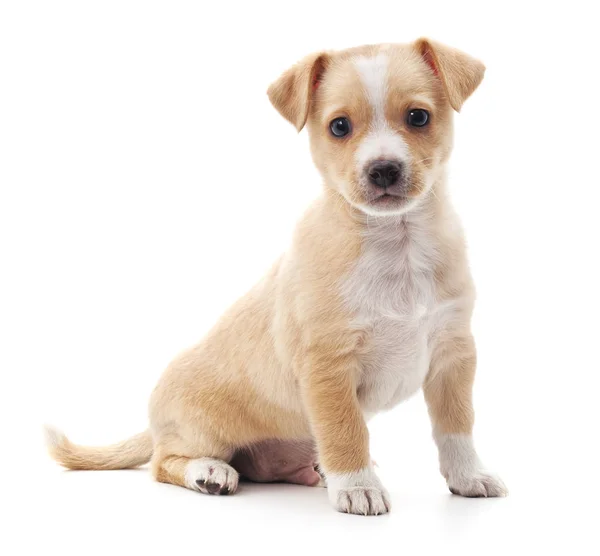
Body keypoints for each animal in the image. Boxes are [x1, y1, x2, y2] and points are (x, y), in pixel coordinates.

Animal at [45, 38, 506, 516]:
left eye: (418, 117)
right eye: (339, 126)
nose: (383, 169)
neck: (398, 244)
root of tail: (154, 423)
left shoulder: (454, 354)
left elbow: (457, 425)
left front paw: (468, 476)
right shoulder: (328, 367)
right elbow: (346, 430)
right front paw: (358, 485)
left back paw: (315, 471)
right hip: (200, 434)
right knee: (164, 461)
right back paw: (209, 472)